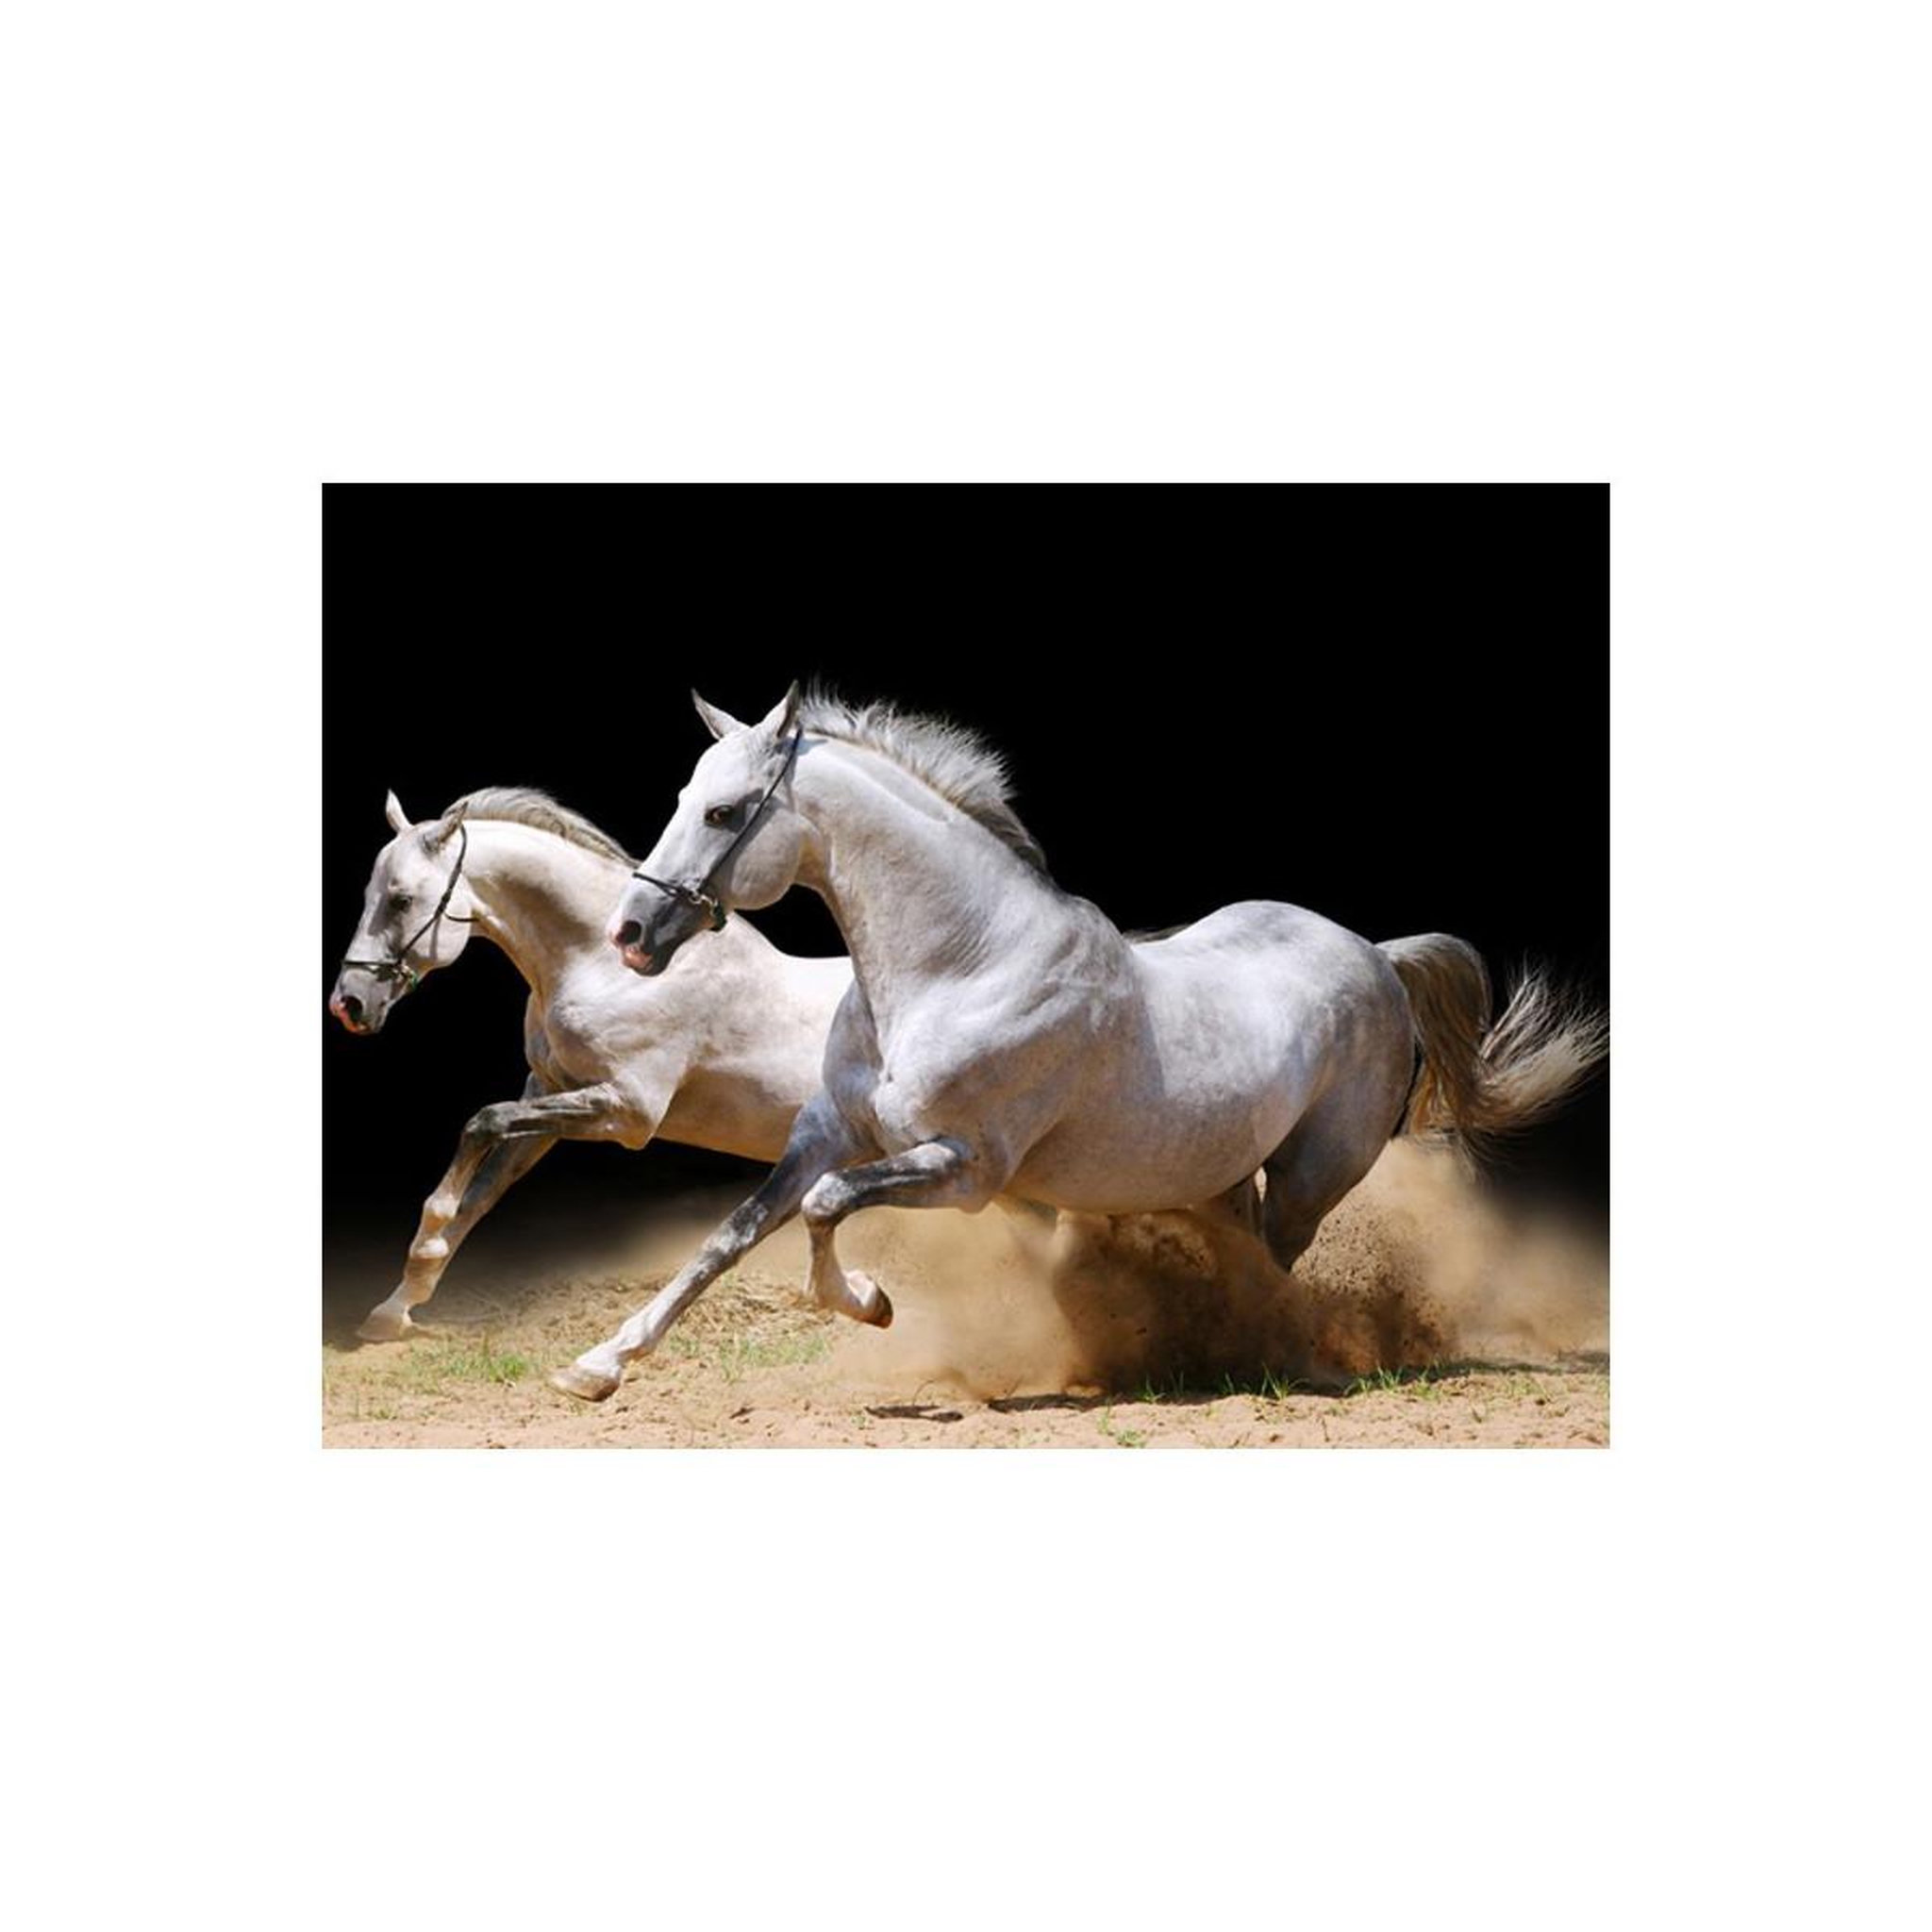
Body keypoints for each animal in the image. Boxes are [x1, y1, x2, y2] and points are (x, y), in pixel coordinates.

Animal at [328, 786, 850, 1341]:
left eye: (401, 900)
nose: (348, 1004)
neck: (605, 966)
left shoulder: (628, 1112)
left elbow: (481, 1124)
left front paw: (425, 1246)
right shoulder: (547, 1092)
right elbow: (481, 1193)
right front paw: (396, 1307)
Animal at [549, 686, 1607, 1402]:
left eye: (724, 811)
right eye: (684, 795)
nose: (631, 934)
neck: (960, 964)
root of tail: (1376, 955)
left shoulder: (965, 1169)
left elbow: (823, 1208)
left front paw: (872, 1302)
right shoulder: (825, 1133)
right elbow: (731, 1235)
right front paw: (596, 1366)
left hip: (1313, 1175)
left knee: (1276, 1263)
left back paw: (1260, 1354)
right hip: (1219, 1170)